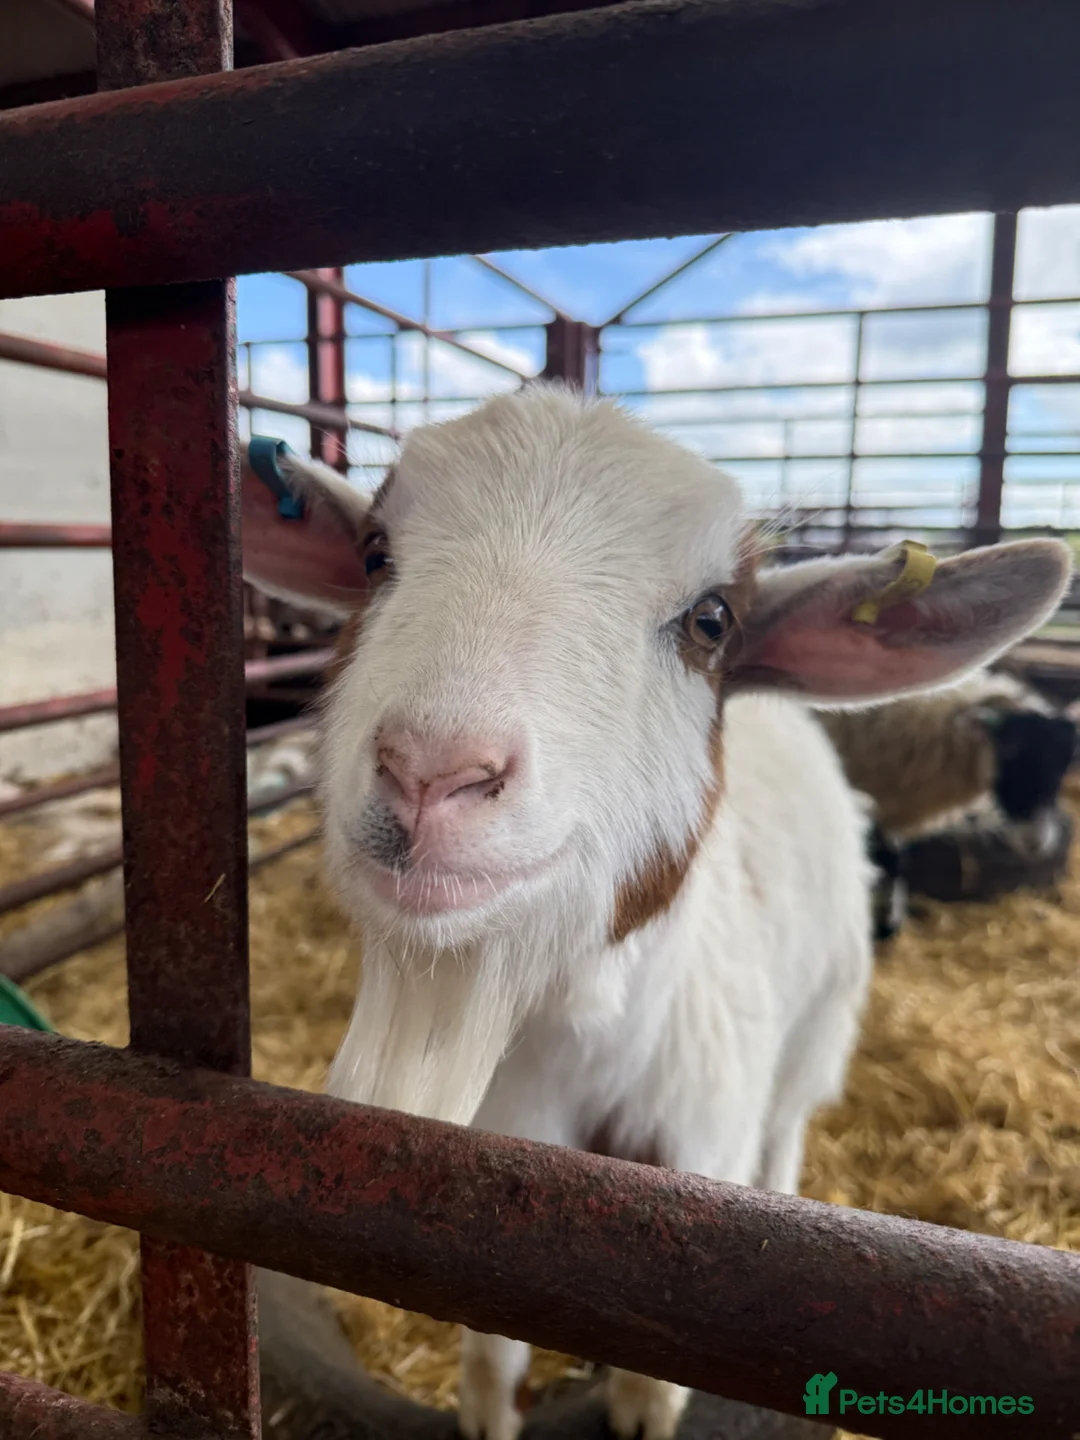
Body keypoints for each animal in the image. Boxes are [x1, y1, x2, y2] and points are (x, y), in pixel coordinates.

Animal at [240, 387, 1070, 1440]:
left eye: (713, 619)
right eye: (374, 554)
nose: (430, 771)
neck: (587, 1045)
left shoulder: (705, 1132)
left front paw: (642, 1407)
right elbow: (492, 1343)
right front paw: (489, 1412)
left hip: (818, 1022)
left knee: (789, 1126)